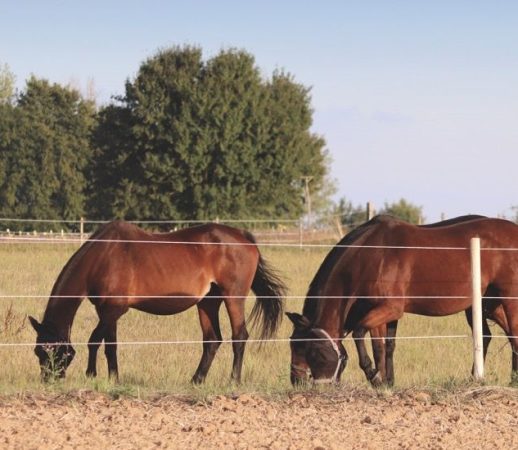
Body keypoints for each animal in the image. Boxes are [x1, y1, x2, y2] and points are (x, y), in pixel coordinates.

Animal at [29, 221, 286, 382]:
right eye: (37, 351)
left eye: (50, 350)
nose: (49, 379)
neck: (103, 256)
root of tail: (245, 237)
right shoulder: (107, 311)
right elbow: (110, 345)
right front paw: (112, 377)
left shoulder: (114, 310)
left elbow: (95, 341)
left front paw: (93, 375)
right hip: (208, 302)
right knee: (212, 340)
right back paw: (196, 380)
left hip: (233, 297)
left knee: (239, 336)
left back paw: (233, 380)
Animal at [287, 215, 514, 385]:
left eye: (311, 350)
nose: (297, 381)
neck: (372, 254)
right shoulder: (381, 312)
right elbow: (385, 346)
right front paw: (386, 382)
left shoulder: (390, 308)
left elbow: (362, 335)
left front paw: (374, 376)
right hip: (490, 304)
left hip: (508, 298)